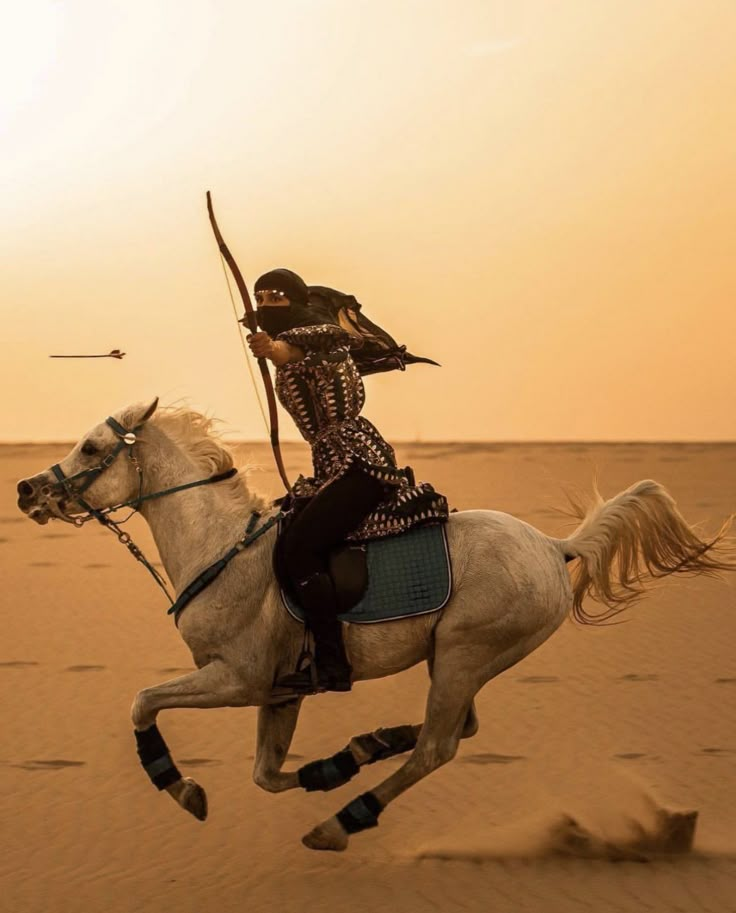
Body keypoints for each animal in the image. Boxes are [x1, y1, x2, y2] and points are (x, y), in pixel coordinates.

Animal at [15, 400, 736, 848]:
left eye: (91, 445)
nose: (26, 490)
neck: (221, 549)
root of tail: (555, 547)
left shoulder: (239, 679)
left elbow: (143, 703)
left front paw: (181, 786)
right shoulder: (280, 692)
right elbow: (267, 773)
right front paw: (341, 761)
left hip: (464, 655)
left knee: (438, 748)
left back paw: (342, 821)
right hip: (458, 661)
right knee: (458, 730)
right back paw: (373, 747)